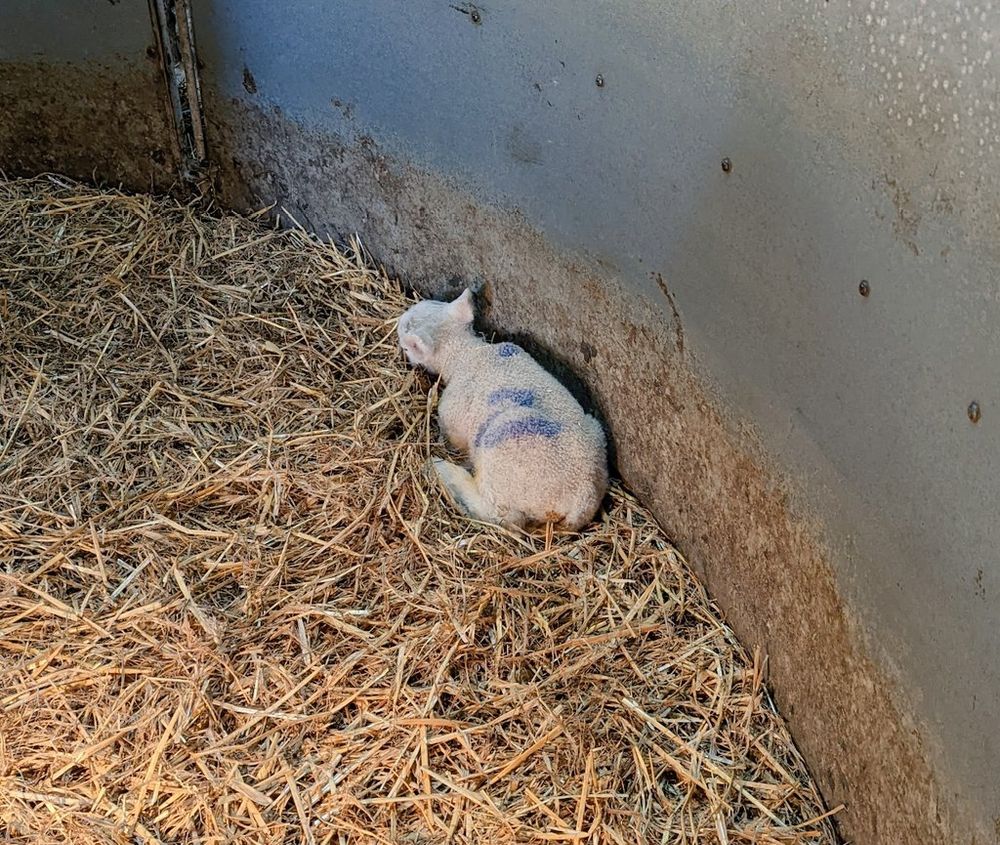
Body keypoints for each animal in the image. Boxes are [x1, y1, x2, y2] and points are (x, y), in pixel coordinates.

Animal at [397, 288, 608, 531]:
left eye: (406, 345)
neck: (468, 354)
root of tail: (581, 496)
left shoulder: (452, 414)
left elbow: (454, 438)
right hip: (596, 432)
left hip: (503, 452)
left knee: (498, 515)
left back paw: (443, 471)